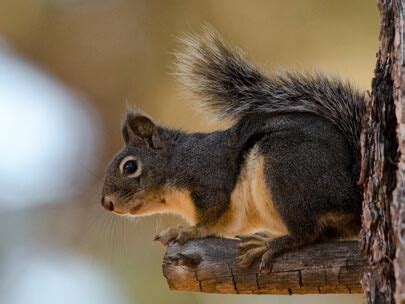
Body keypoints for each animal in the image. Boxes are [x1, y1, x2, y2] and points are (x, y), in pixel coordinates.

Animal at [100, 29, 362, 274]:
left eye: (130, 166)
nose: (106, 203)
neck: (176, 163)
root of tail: (351, 188)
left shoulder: (210, 176)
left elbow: (210, 216)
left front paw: (189, 230)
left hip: (284, 166)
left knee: (306, 232)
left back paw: (269, 245)